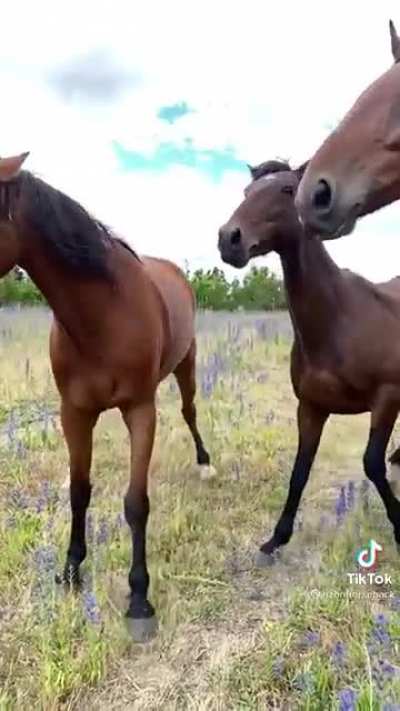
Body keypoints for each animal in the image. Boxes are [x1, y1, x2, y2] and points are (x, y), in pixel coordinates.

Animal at [0, 151, 213, 641]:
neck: (101, 316)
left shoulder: (140, 410)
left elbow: (136, 504)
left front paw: (139, 598)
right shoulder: (74, 413)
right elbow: (79, 490)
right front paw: (70, 571)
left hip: (187, 365)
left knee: (190, 410)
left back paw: (205, 462)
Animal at [218, 162, 400, 565]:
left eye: (288, 190)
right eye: (245, 192)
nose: (229, 239)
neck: (339, 318)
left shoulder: (387, 398)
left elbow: (372, 463)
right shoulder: (312, 407)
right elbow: (300, 470)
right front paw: (276, 539)